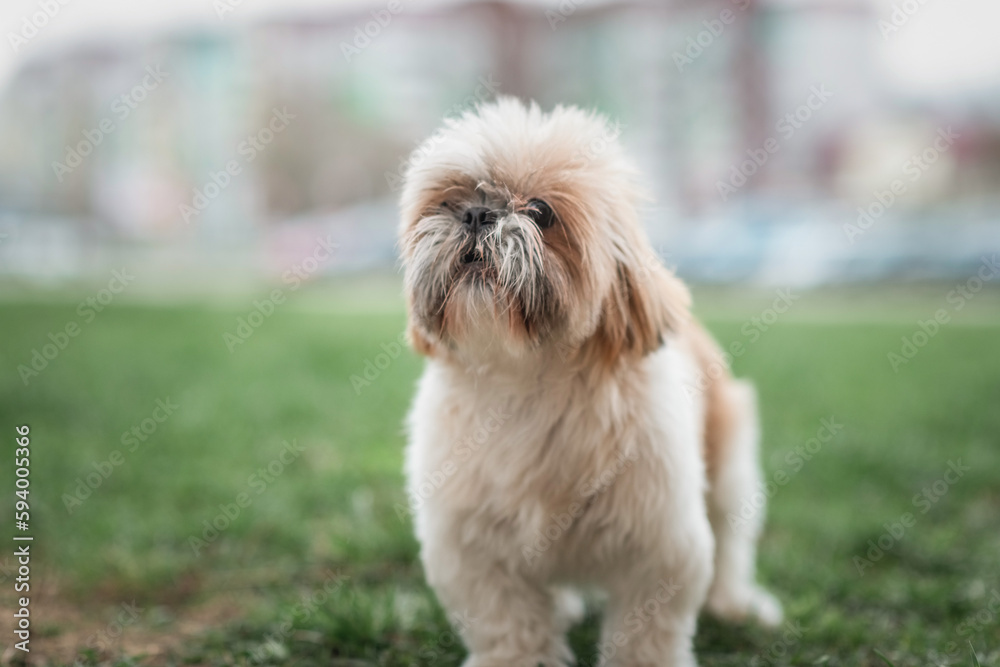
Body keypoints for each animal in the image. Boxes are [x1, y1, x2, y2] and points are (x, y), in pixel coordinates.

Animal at [396, 99, 780, 667]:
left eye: (540, 212)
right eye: (451, 199)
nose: (477, 215)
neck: (528, 385)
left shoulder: (660, 548)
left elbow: (647, 637)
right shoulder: (473, 549)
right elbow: (509, 624)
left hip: (730, 465)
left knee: (732, 538)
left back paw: (735, 603)